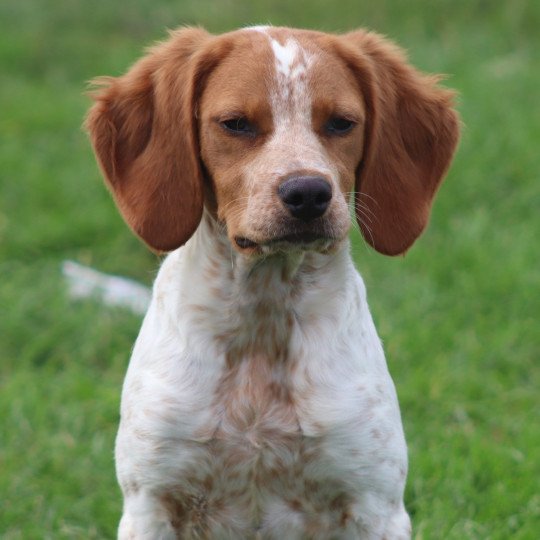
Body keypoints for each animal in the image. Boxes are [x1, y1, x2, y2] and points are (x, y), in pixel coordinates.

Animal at [86, 25, 458, 540]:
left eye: (341, 123)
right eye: (236, 124)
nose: (309, 193)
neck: (263, 321)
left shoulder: (375, 504)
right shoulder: (151, 502)